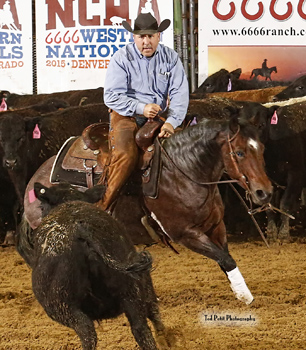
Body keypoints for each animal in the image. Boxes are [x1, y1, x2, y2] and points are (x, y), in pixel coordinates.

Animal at [16, 183, 170, 350]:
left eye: (42, 207)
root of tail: (80, 228)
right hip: (131, 293)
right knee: (141, 329)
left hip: (61, 307)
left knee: (88, 333)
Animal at [23, 115, 272, 304]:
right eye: (239, 152)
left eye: (261, 149)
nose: (264, 192)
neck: (182, 171)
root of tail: (35, 180)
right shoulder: (185, 234)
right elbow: (225, 259)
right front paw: (246, 298)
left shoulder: (216, 227)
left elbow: (225, 258)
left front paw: (241, 292)